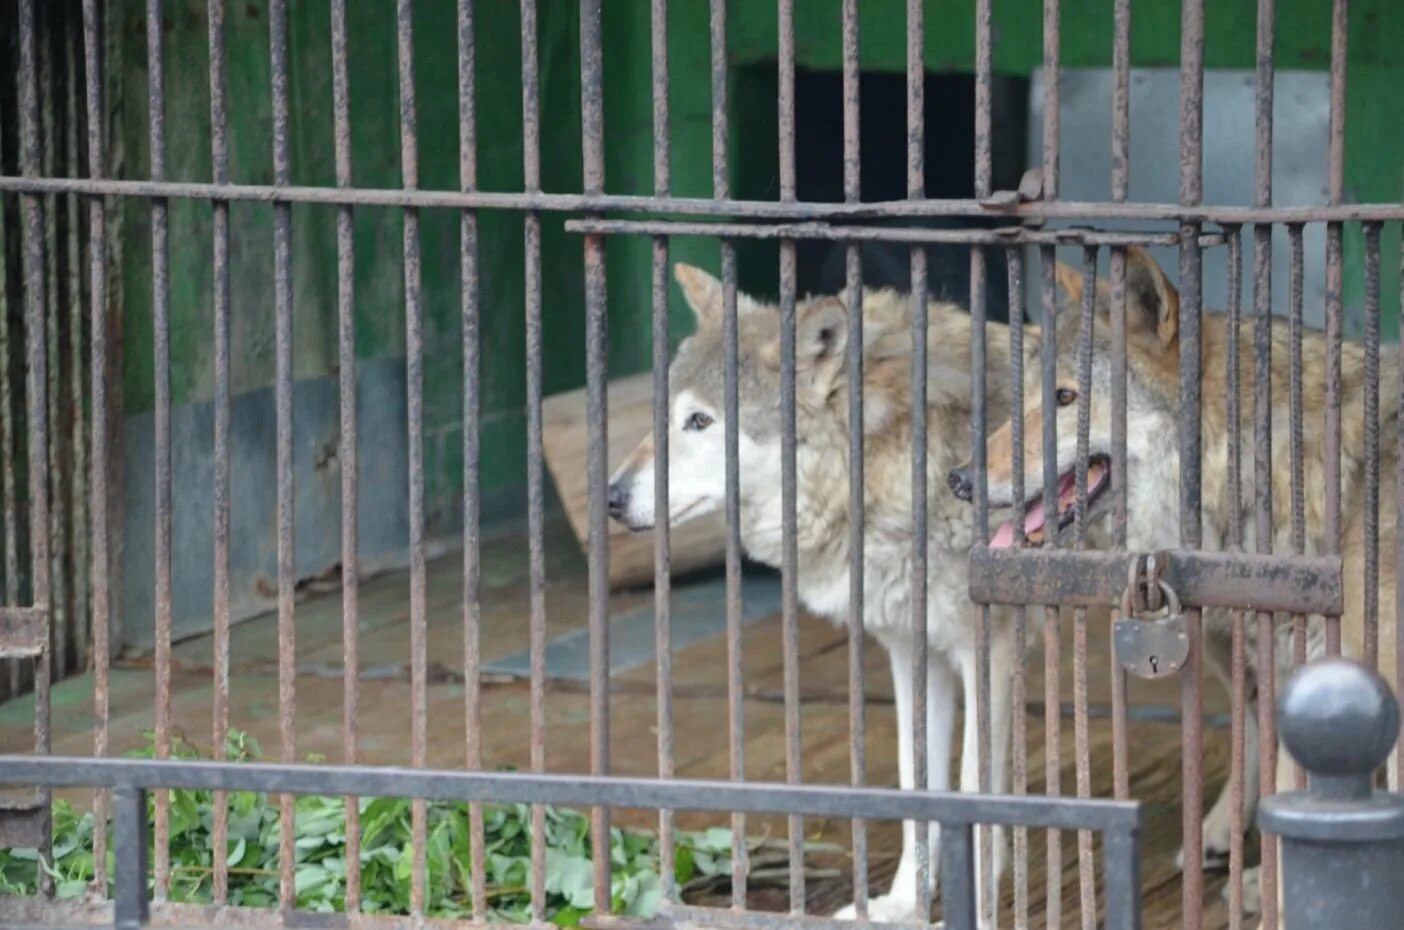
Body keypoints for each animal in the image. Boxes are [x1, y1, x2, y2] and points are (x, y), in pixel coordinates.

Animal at [603, 264, 1044, 927]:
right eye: (663, 417)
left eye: (700, 421)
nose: (610, 497)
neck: (880, 455)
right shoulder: (914, 653)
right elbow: (917, 790)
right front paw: (900, 906)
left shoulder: (986, 654)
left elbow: (980, 810)